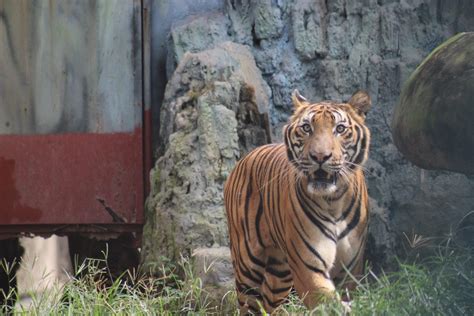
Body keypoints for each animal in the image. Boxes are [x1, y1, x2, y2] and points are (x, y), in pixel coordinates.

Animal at [224, 89, 372, 314]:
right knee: (249, 305)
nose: (320, 156)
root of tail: (246, 156)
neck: (333, 201)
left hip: (279, 272)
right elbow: (328, 305)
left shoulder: (350, 270)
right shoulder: (308, 267)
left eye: (340, 129)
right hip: (247, 266)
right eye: (306, 128)